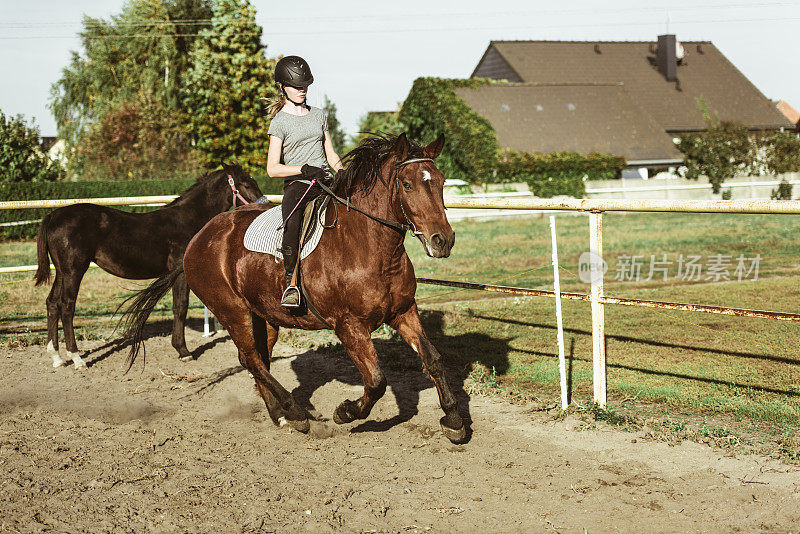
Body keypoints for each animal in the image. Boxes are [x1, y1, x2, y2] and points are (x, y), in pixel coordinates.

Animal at [35, 165, 262, 370]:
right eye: (246, 184)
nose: (264, 205)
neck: (188, 220)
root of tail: (53, 216)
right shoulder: (179, 273)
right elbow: (180, 307)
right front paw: (183, 351)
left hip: (62, 272)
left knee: (52, 303)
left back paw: (56, 358)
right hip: (74, 271)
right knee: (67, 306)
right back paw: (77, 358)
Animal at [121, 136, 466, 446]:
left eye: (440, 182)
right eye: (407, 185)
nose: (443, 240)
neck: (370, 247)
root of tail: (199, 237)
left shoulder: (403, 311)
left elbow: (433, 360)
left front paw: (453, 421)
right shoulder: (349, 324)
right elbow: (376, 381)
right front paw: (345, 412)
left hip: (263, 316)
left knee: (256, 360)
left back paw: (281, 415)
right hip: (232, 311)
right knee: (252, 360)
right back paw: (297, 413)